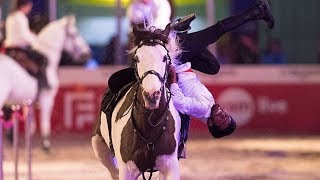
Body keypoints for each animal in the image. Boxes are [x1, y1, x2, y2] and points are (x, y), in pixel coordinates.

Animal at [0, 15, 91, 149]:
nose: (87, 53)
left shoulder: (30, 104)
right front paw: (46, 145)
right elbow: (45, 121)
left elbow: (31, 126)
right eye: (75, 34)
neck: (47, 59)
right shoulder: (47, 98)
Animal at [92, 24, 182, 179]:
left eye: (165, 57)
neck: (149, 128)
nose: (151, 95)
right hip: (98, 144)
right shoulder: (127, 170)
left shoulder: (170, 167)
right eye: (136, 58)